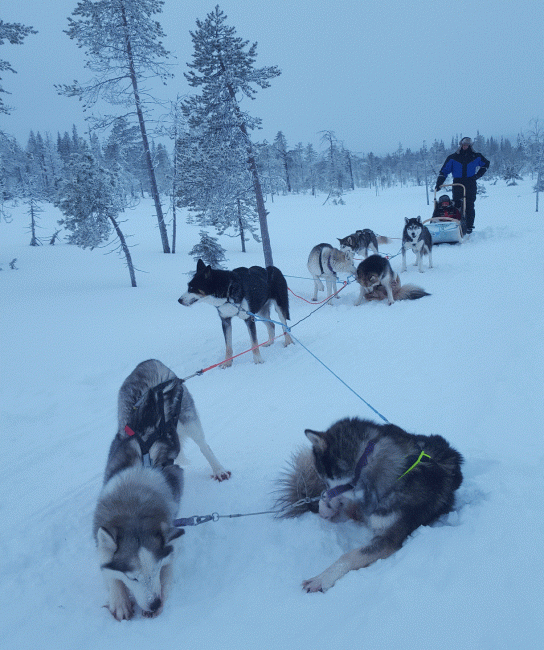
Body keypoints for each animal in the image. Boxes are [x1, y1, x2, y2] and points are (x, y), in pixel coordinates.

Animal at [93, 360, 230, 616]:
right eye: (133, 578)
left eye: (156, 570)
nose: (154, 603)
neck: (133, 499)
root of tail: (149, 362)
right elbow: (107, 570)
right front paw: (118, 598)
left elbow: (170, 563)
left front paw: (164, 590)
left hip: (190, 422)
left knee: (204, 446)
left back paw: (218, 469)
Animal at [276, 416, 464, 592]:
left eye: (324, 479)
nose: (326, 496)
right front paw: (326, 506)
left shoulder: (388, 538)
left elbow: (349, 556)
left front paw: (322, 579)